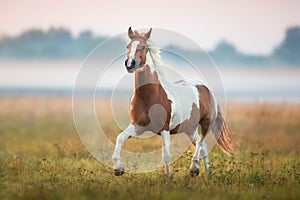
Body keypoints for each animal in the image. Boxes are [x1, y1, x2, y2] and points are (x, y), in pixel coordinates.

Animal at [112, 27, 232, 177]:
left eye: (143, 46)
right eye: (127, 46)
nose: (130, 64)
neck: (149, 95)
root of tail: (207, 89)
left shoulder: (165, 129)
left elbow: (166, 156)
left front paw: (169, 178)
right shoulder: (138, 126)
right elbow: (120, 138)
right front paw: (118, 169)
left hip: (206, 124)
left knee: (200, 143)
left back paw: (194, 169)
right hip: (190, 129)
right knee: (203, 147)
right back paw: (207, 176)